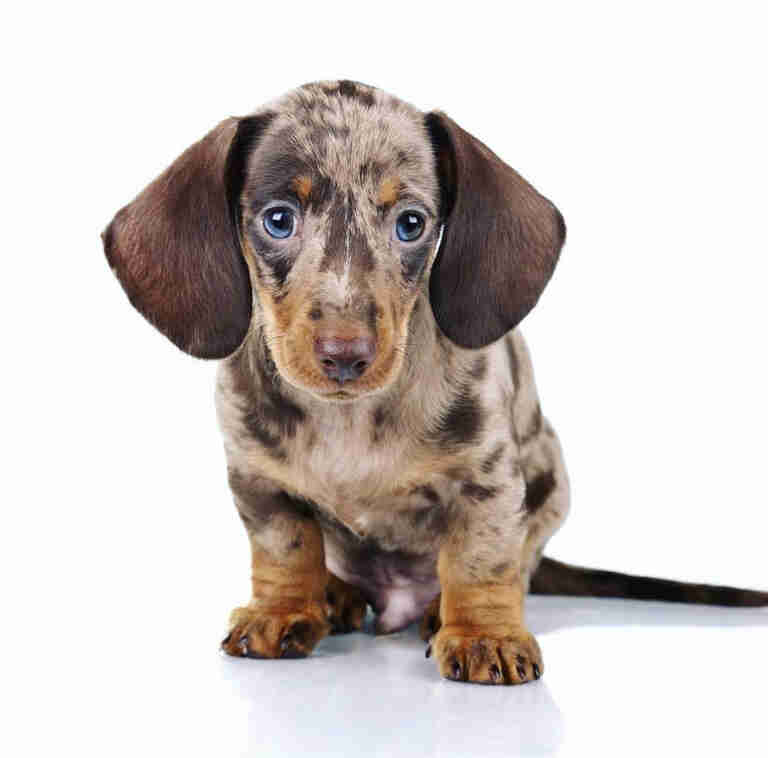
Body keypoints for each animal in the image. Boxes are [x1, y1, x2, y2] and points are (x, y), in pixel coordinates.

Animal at [103, 80, 768, 684]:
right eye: (278, 220)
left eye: (411, 224)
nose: (345, 355)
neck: (348, 418)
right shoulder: (258, 482)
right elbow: (286, 549)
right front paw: (284, 609)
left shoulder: (488, 480)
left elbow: (480, 561)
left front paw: (481, 634)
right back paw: (336, 593)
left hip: (550, 478)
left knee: (517, 564)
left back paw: (438, 612)